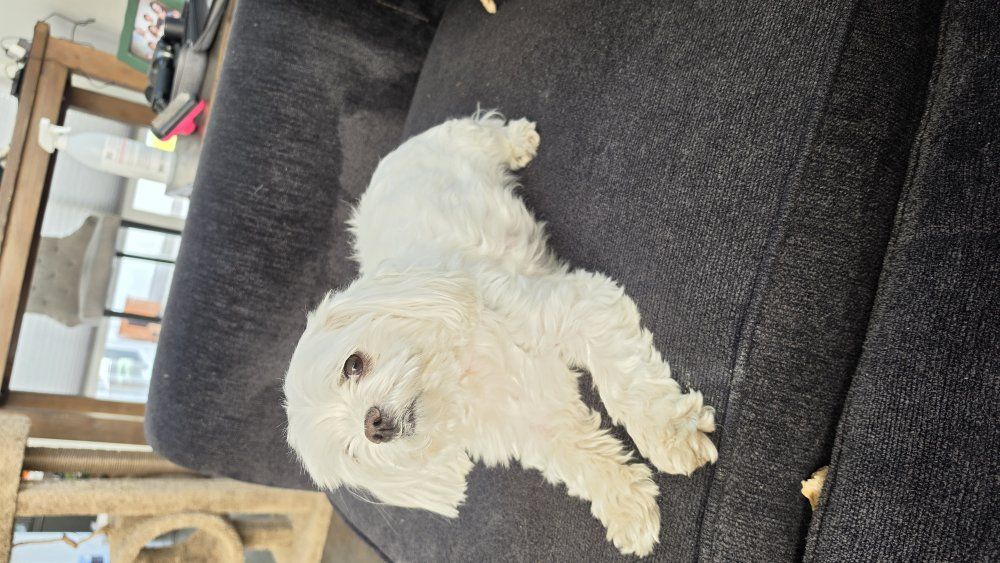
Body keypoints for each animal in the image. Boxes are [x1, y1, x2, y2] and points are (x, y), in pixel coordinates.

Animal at [283, 112, 718, 556]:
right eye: (352, 451)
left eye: (352, 365)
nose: (374, 427)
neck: (460, 381)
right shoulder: (539, 421)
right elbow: (584, 459)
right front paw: (626, 506)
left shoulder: (578, 309)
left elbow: (630, 386)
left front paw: (673, 437)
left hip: (464, 140)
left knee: (486, 129)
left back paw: (519, 140)